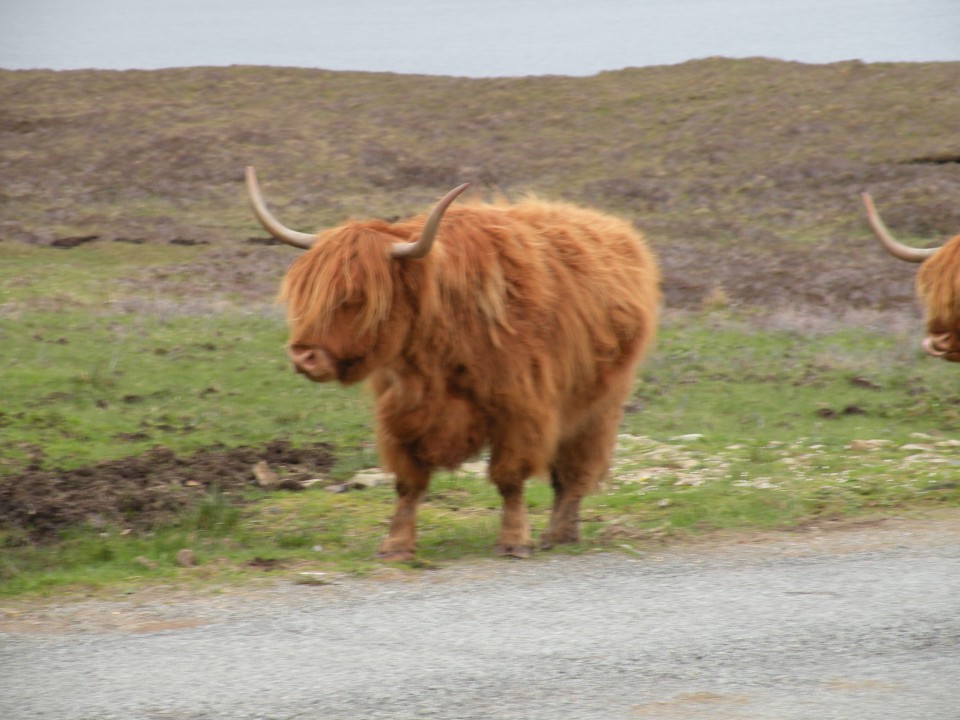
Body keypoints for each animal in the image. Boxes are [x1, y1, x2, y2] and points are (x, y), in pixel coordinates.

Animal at [246, 166, 660, 560]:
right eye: (306, 293)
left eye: (356, 296)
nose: (303, 355)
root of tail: (618, 232)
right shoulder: (401, 413)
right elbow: (408, 483)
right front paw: (396, 545)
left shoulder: (520, 410)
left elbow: (509, 478)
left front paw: (513, 542)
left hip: (598, 406)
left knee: (574, 473)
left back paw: (558, 534)